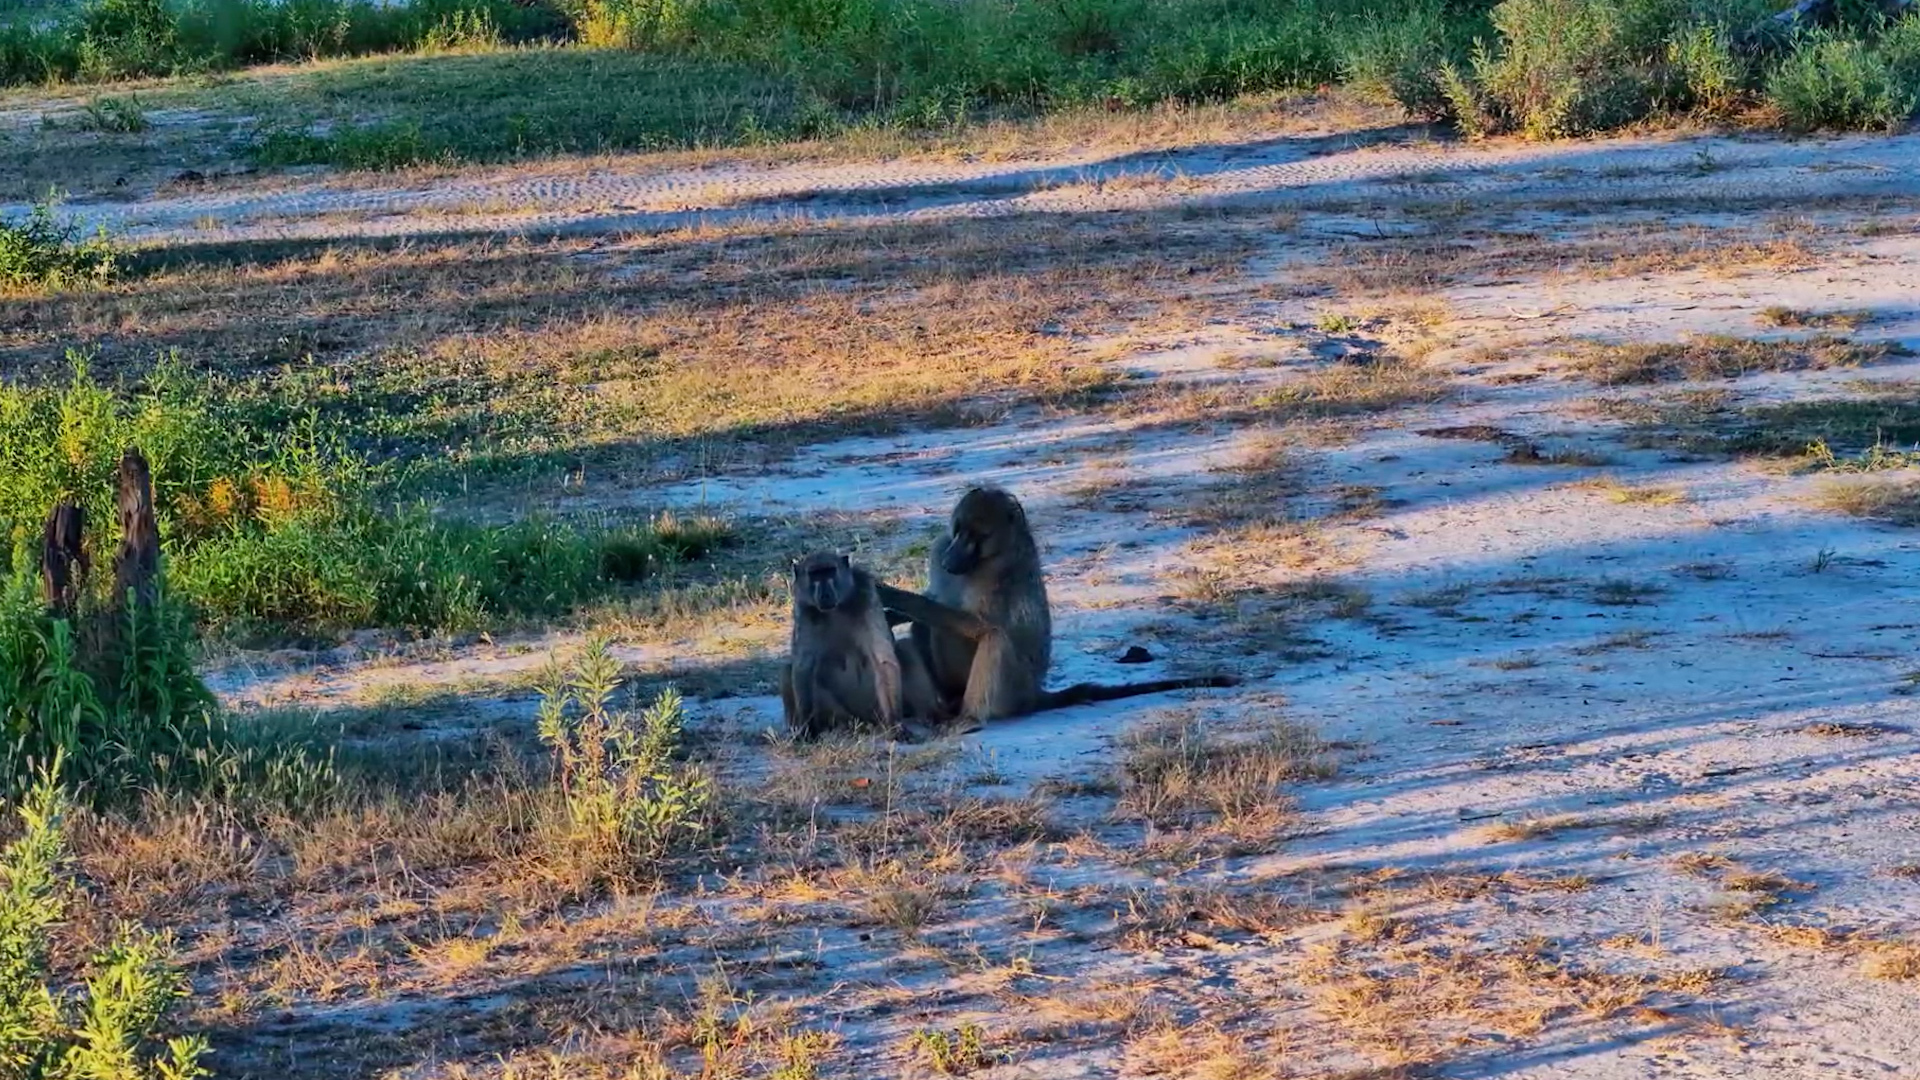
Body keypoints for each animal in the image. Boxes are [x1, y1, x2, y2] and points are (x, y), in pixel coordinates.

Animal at [779, 550, 946, 740]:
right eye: (814, 574)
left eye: (830, 571)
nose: (825, 595)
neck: (836, 608)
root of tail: (867, 720)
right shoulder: (804, 608)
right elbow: (803, 667)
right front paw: (807, 728)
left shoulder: (867, 595)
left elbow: (883, 659)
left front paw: (896, 725)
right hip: (845, 713)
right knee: (788, 670)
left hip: (876, 707)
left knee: (905, 648)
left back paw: (933, 715)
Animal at [876, 486, 1239, 729]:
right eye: (958, 530)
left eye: (977, 536)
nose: (953, 559)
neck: (990, 555)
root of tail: (1036, 694)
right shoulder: (940, 549)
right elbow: (935, 599)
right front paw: (891, 612)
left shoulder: (1005, 572)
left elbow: (978, 624)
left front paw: (892, 596)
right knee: (920, 633)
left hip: (1015, 690)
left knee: (996, 640)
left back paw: (973, 717)